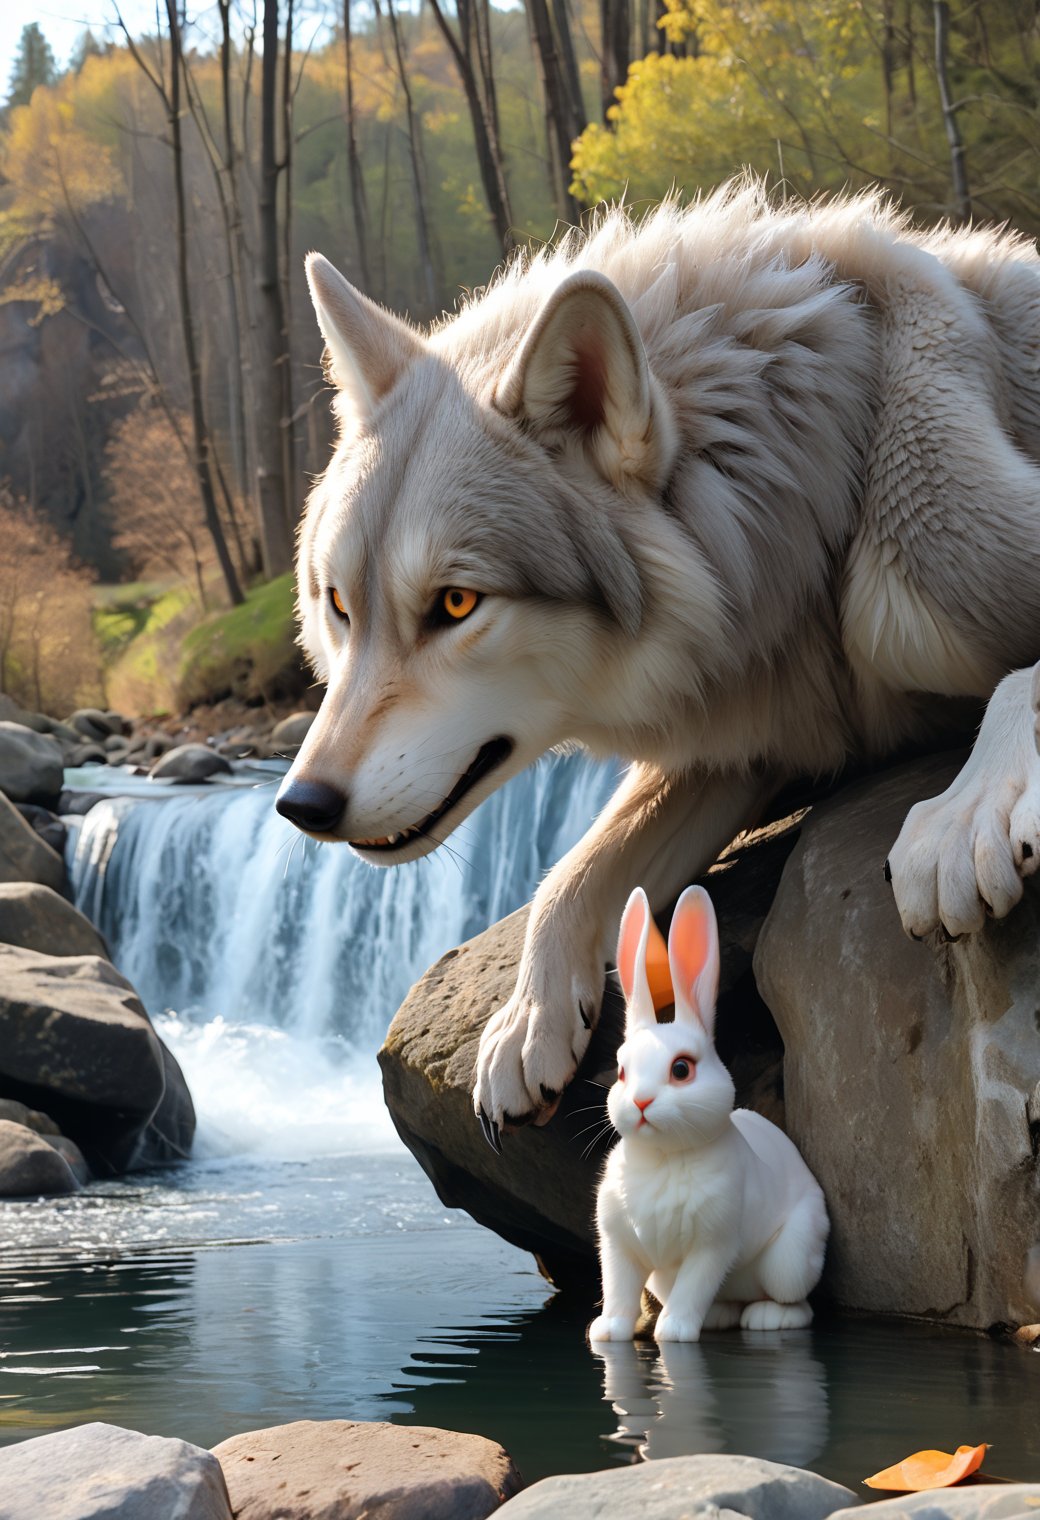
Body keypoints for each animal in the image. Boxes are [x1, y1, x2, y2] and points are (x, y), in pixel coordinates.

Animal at [276, 180, 1040, 1143]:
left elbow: (1019, 680)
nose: (300, 805)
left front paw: (974, 806)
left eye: (454, 605)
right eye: (339, 606)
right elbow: (572, 870)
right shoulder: (753, 736)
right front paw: (527, 1017)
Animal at [592, 887, 827, 1343]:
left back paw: (767, 1318)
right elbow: (618, 1289)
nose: (641, 1102)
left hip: (790, 1262)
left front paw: (674, 1332)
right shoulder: (618, 1244)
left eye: (682, 1069)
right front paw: (607, 1332)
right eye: (622, 1071)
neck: (663, 1158)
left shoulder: (712, 1244)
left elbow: (694, 1288)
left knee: (799, 1305)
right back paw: (720, 1316)